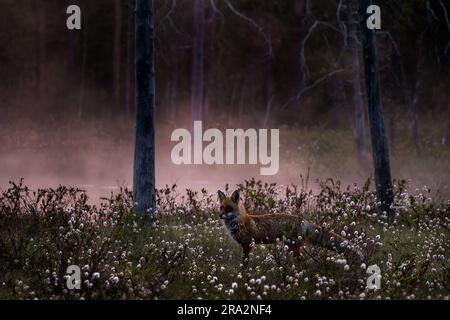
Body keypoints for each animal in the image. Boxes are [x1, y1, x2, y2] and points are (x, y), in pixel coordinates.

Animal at [216, 190, 364, 268]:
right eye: (221, 208)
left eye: (228, 209)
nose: (220, 215)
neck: (239, 222)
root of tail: (303, 220)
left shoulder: (247, 245)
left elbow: (244, 265)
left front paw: (243, 276)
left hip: (292, 246)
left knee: (303, 261)